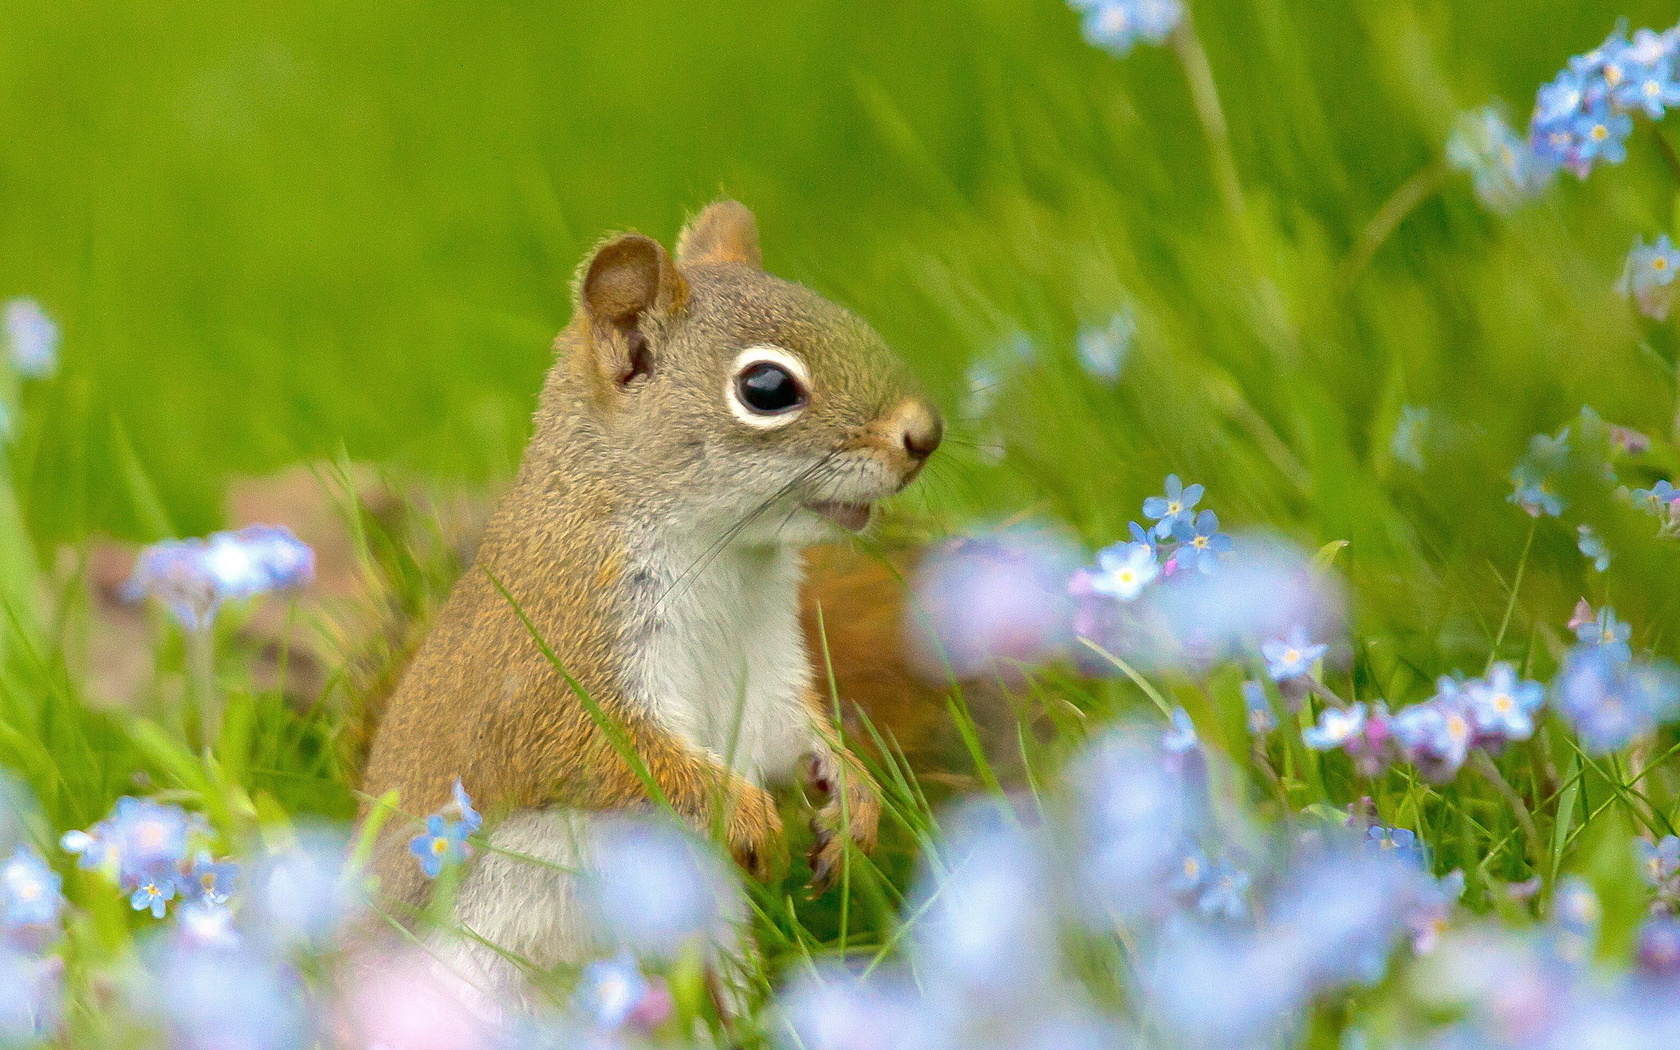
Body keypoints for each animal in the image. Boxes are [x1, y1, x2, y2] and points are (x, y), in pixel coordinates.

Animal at [359, 198, 947, 1001]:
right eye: (767, 388)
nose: (926, 434)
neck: (728, 560)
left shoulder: (764, 668)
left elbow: (788, 731)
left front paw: (852, 797)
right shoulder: (557, 657)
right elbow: (606, 751)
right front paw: (747, 816)